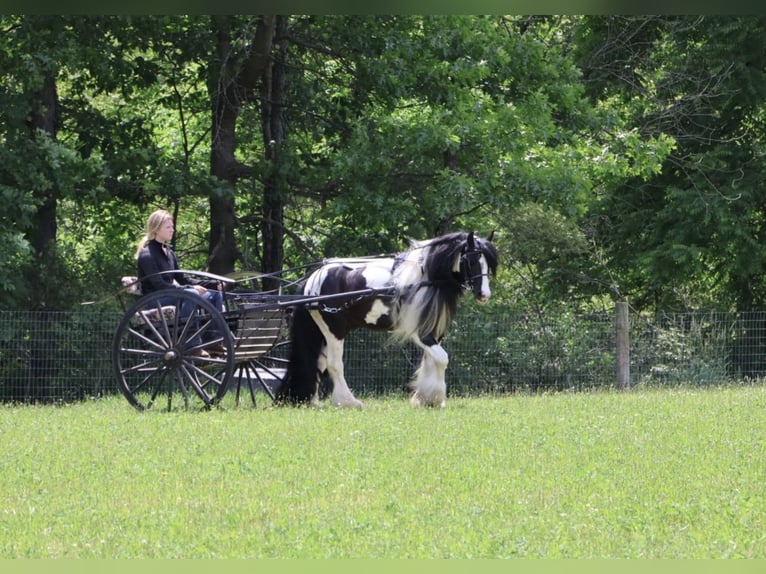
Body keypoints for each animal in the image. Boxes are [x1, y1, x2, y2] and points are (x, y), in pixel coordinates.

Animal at [274, 231, 498, 408]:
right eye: (471, 260)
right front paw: (434, 397)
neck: (426, 276)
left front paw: (425, 398)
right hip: (333, 329)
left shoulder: (434, 331)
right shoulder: (417, 332)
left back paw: (313, 401)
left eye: (488, 263)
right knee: (334, 364)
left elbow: (430, 360)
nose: (484, 295)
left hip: (323, 331)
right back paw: (348, 402)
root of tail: (313, 279)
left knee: (318, 362)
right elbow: (442, 359)